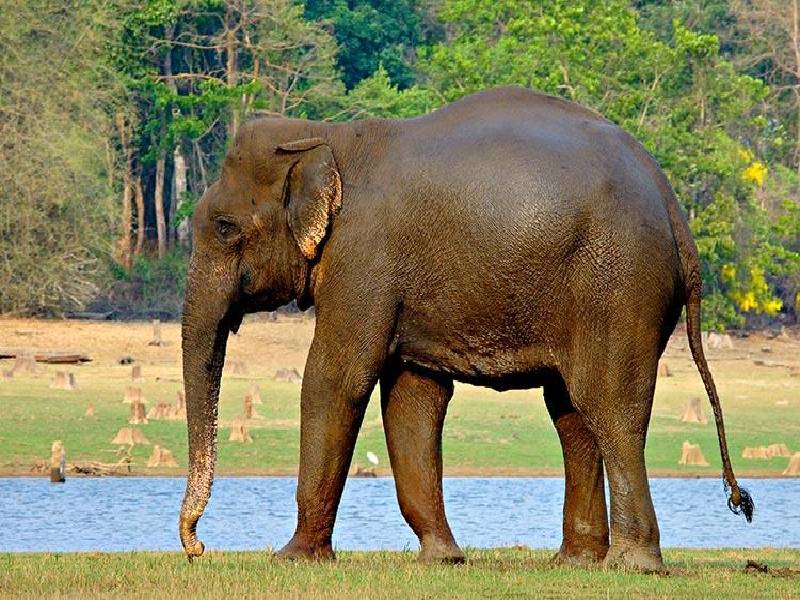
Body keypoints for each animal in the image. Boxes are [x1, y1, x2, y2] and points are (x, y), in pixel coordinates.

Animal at [179, 85, 752, 572]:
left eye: (224, 227)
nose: (198, 547)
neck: (325, 134)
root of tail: (673, 206)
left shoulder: (362, 258)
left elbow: (336, 377)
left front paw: (294, 558)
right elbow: (413, 397)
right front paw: (443, 558)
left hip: (618, 283)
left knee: (610, 406)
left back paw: (633, 564)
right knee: (571, 413)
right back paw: (576, 562)